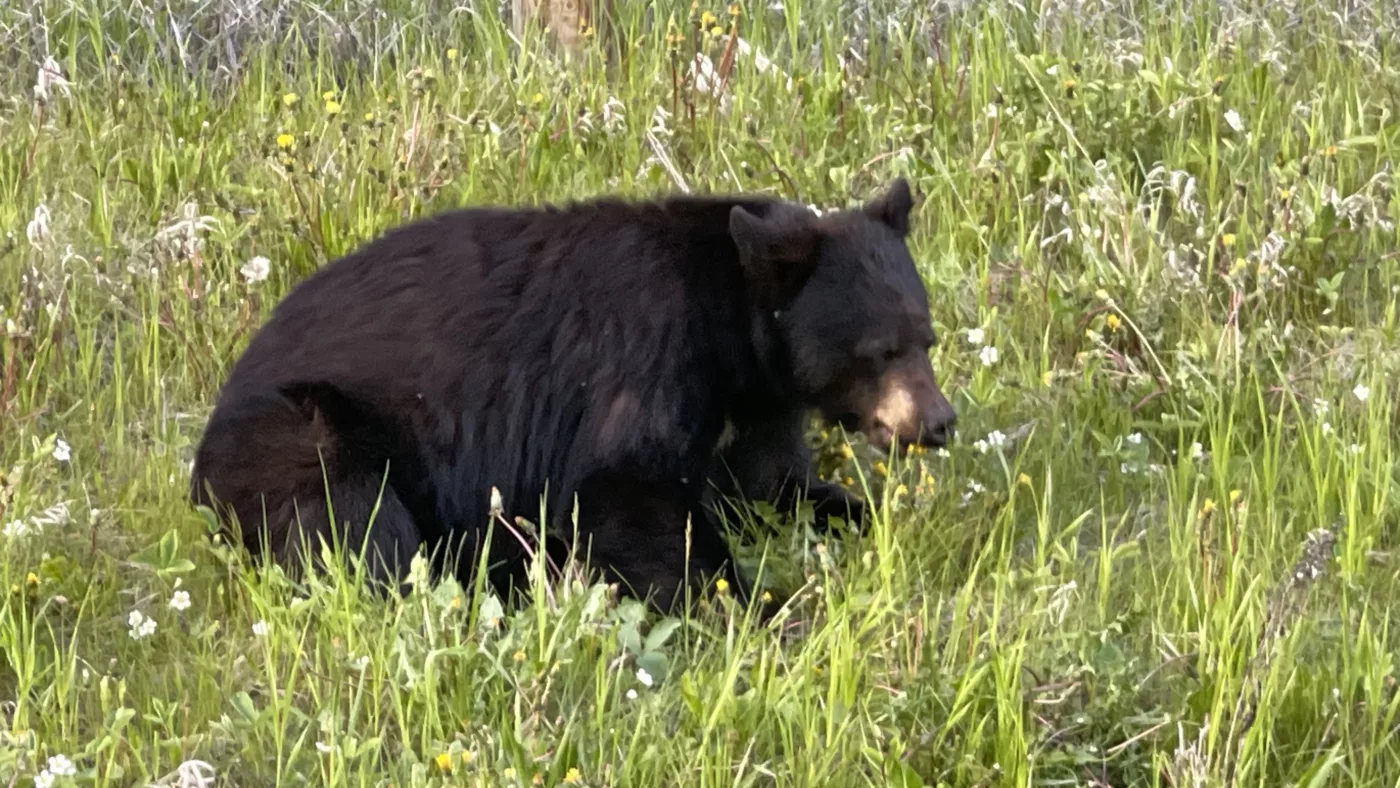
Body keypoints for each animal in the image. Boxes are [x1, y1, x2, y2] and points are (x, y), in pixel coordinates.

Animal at [191, 180, 957, 615]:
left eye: (927, 337)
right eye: (880, 350)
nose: (938, 421)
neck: (733, 325)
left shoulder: (760, 406)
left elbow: (770, 481)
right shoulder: (649, 352)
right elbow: (625, 487)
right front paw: (759, 609)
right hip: (300, 431)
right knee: (356, 523)